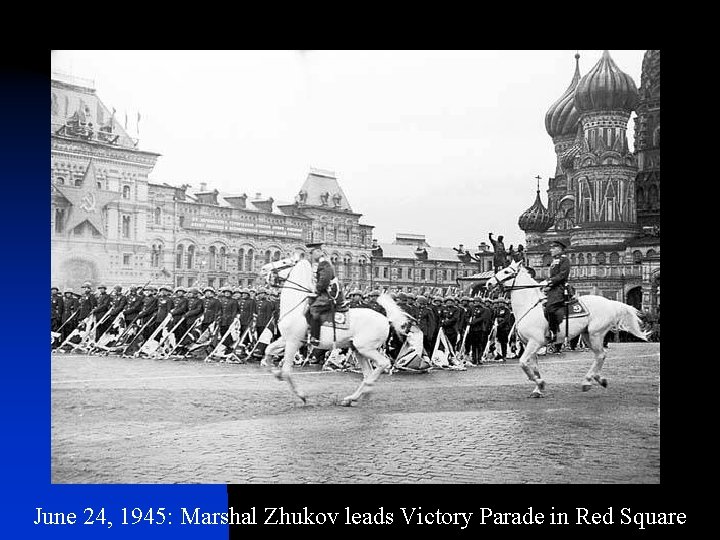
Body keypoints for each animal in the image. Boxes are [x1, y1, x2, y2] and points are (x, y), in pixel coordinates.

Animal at [258, 258, 408, 404]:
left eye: (284, 262)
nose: (263, 268)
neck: (296, 308)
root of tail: (385, 318)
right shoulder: (285, 339)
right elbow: (268, 351)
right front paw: (275, 373)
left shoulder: (293, 342)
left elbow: (286, 371)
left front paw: (301, 395)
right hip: (358, 350)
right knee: (368, 373)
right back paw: (354, 397)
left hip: (366, 348)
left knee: (383, 364)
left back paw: (365, 389)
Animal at [486, 262, 648, 396]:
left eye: (507, 271)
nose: (488, 283)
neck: (529, 307)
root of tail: (610, 303)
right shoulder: (528, 344)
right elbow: (534, 367)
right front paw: (538, 389)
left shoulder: (535, 342)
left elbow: (523, 364)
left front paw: (540, 384)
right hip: (587, 336)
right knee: (599, 355)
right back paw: (597, 379)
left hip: (595, 334)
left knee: (601, 355)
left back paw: (588, 381)